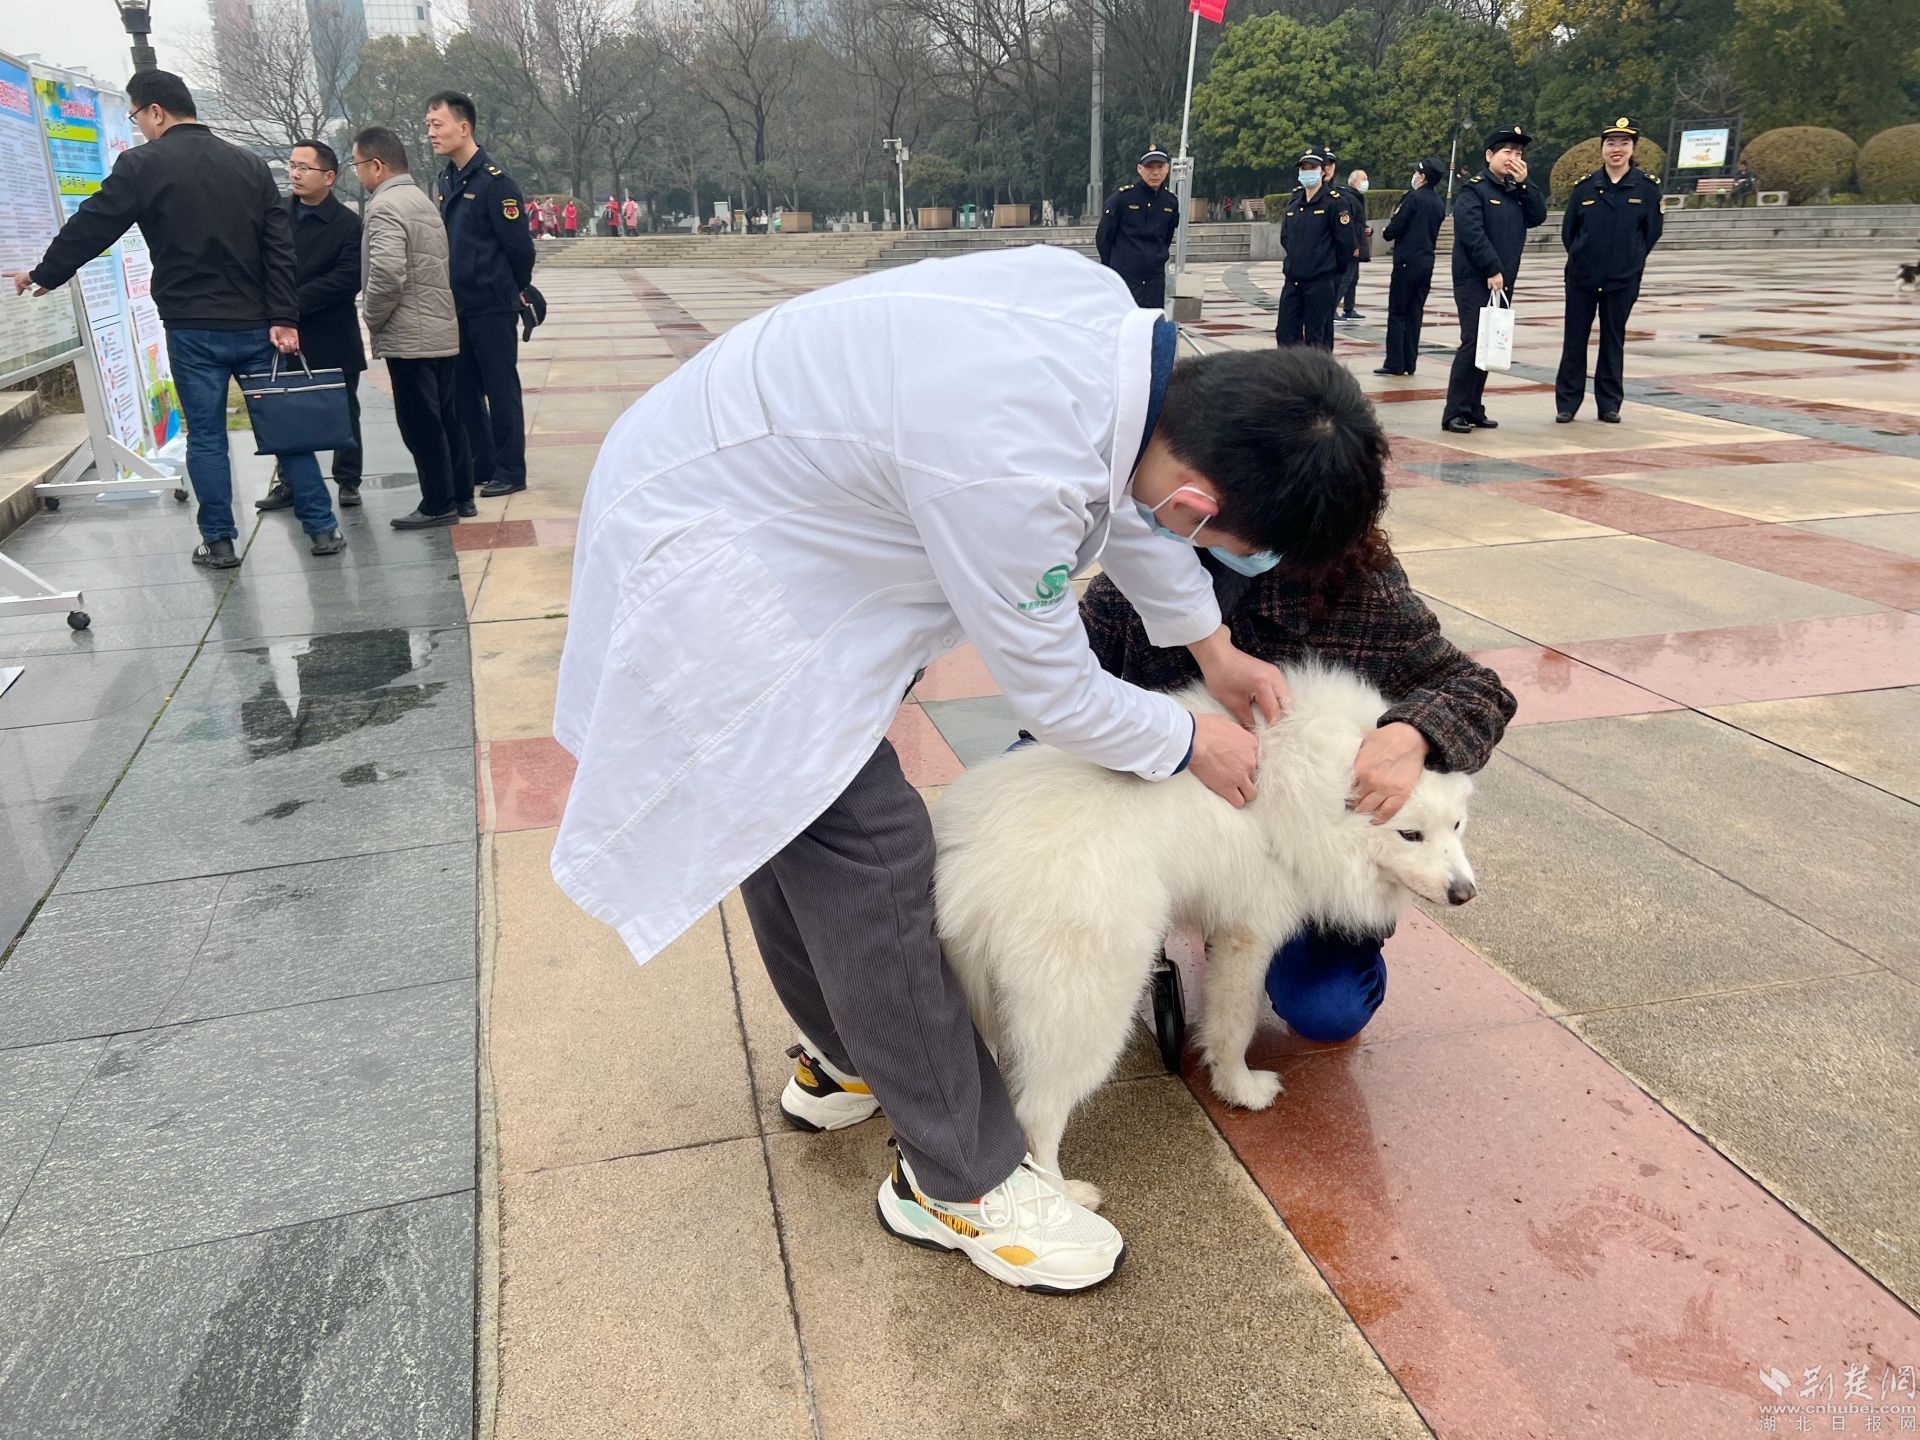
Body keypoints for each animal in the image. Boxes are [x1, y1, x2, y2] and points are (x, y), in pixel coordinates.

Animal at [933, 662, 1478, 1207]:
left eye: (1456, 825)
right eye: (1410, 835)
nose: (1465, 893)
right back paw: (1064, 1198)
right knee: (1037, 1113)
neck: (1304, 783)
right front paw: (1242, 1090)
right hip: (1089, 1006)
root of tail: (970, 865)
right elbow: (1235, 1025)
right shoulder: (1249, 935)